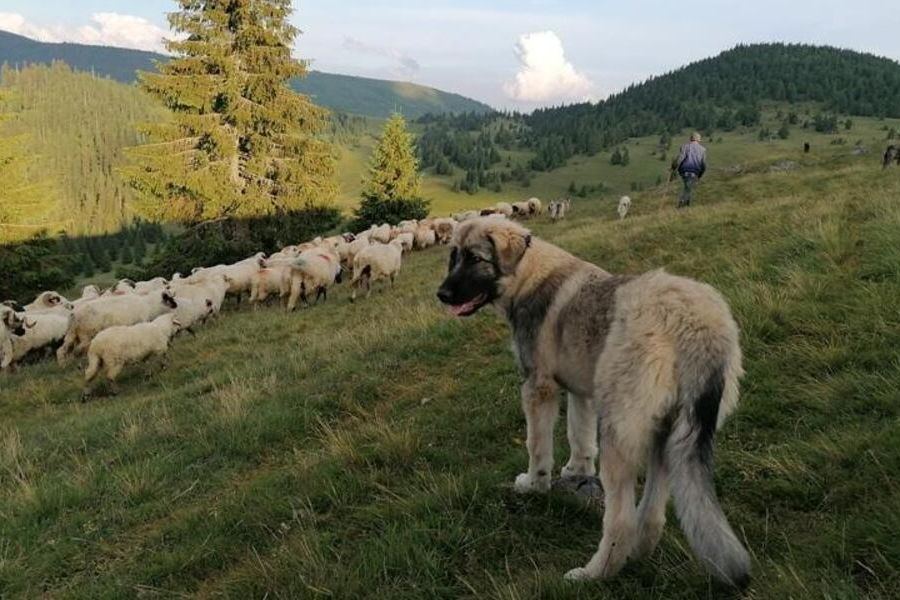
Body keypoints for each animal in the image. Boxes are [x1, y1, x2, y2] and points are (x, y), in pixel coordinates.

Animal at [436, 218, 752, 588]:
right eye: (453, 257)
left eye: (475, 258)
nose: (442, 295)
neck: (528, 275)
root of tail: (696, 327)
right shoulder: (581, 391)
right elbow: (579, 436)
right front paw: (576, 470)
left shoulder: (538, 387)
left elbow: (537, 446)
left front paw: (534, 485)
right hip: (667, 432)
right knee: (652, 511)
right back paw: (639, 551)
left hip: (619, 430)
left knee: (621, 520)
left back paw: (594, 573)